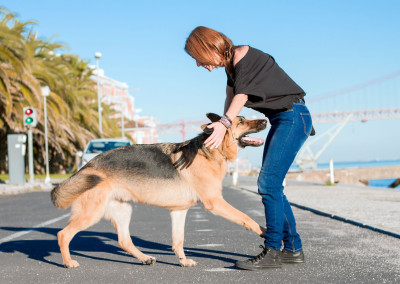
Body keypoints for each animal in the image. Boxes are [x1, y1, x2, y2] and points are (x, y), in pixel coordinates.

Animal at [51, 113, 268, 268]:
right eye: (241, 121)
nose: (266, 120)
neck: (210, 151)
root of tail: (87, 166)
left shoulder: (179, 211)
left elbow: (178, 240)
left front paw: (183, 261)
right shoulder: (215, 202)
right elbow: (245, 217)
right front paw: (264, 231)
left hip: (123, 210)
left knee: (124, 240)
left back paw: (144, 258)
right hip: (92, 213)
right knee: (63, 234)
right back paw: (68, 262)